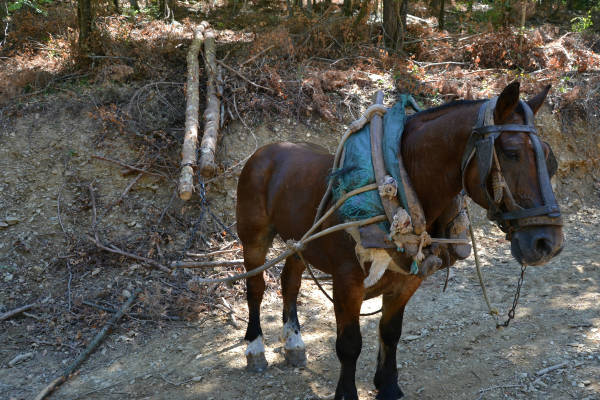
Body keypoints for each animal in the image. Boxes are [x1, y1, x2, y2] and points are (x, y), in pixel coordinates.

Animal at [234, 80, 564, 396]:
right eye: (511, 152)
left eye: (550, 158)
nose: (548, 243)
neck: (399, 185)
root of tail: (267, 150)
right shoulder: (347, 284)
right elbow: (349, 345)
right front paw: (347, 393)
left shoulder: (407, 281)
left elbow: (391, 333)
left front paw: (388, 386)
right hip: (254, 238)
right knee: (256, 287)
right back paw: (255, 348)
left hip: (299, 242)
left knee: (290, 281)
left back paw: (294, 343)